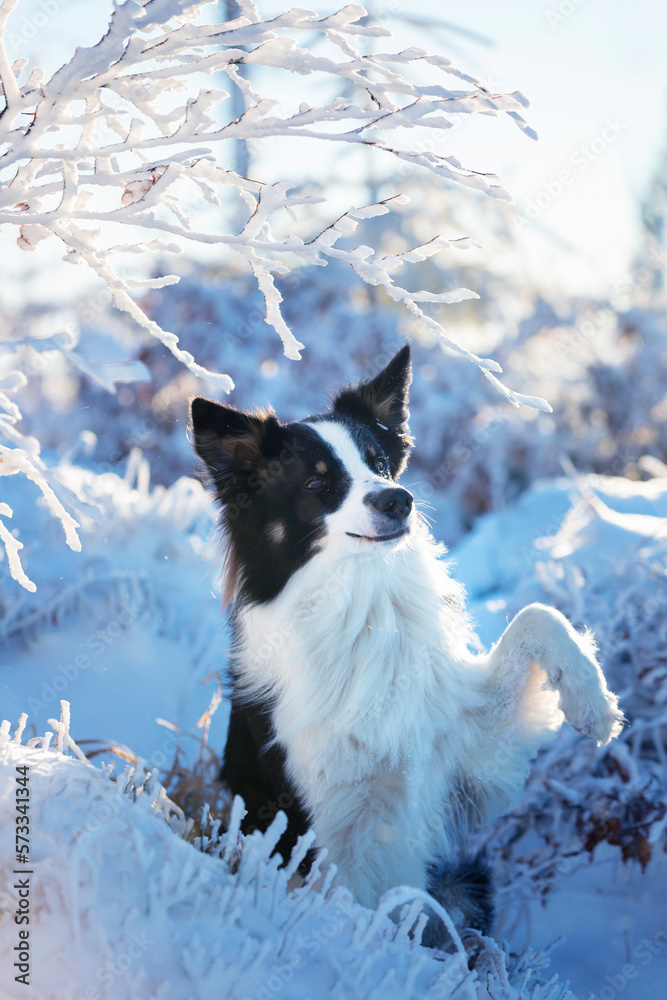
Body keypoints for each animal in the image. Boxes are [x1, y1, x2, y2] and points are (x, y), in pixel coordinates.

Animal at [189, 346, 628, 936]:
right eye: (315, 483)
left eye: (377, 462)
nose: (399, 500)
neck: (360, 604)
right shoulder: (330, 822)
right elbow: (355, 919)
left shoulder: (466, 755)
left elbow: (537, 615)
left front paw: (592, 701)